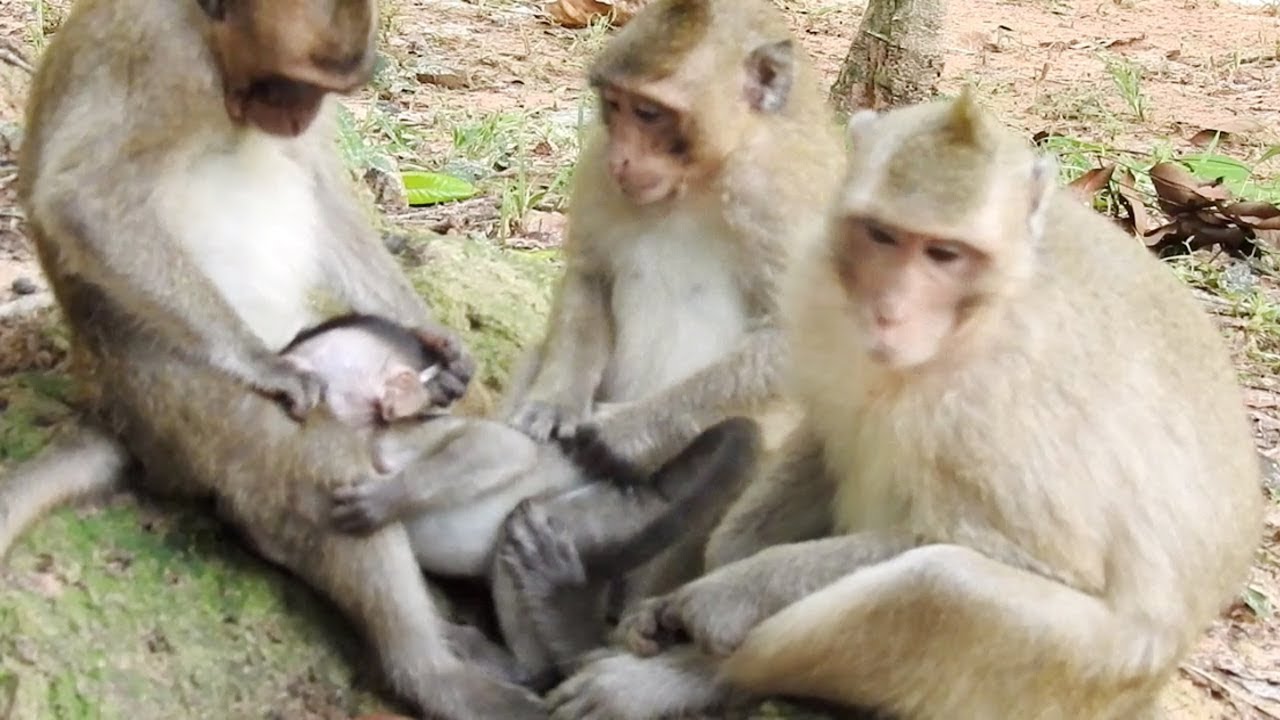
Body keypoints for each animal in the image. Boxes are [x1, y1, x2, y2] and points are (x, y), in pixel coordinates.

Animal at [0, 0, 549, 717]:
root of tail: (116, 415)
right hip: (179, 405)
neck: (208, 46)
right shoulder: (155, 54)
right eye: (288, 82)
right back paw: (433, 675)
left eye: (318, 91)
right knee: (320, 460)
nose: (297, 115)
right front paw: (265, 365)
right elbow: (84, 199)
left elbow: (319, 180)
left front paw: (433, 338)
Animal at [277, 312, 763, 690]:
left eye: (304, 362)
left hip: (597, 516)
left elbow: (502, 449)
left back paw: (523, 666)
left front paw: (382, 501)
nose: (281, 373)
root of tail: (649, 491)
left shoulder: (398, 437)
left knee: (518, 541)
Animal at [497, 0, 846, 654]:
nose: (623, 157)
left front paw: (627, 434)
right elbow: (591, 272)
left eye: (652, 114)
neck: (704, 179)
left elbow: (799, 341)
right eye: (615, 106)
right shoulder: (596, 167)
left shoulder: (783, 199)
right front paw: (554, 405)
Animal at [540, 90, 1268, 720]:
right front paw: (710, 570)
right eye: (882, 236)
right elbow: (828, 431)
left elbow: (1043, 561)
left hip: (1080, 678)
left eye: (945, 253)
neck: (978, 316)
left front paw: (725, 598)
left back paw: (691, 679)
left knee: (939, 587)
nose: (889, 309)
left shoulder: (1000, 405)